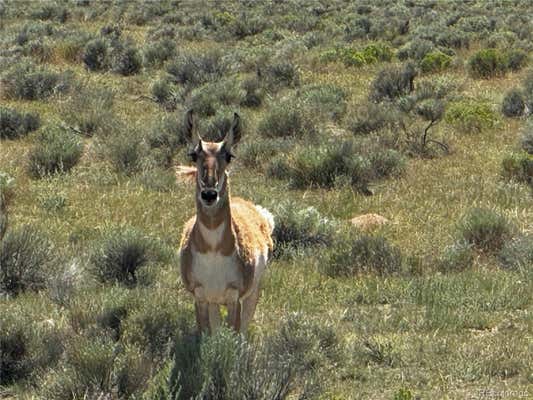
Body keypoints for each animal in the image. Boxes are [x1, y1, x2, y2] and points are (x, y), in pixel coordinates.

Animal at [180, 110, 274, 334]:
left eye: (229, 156)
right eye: (194, 155)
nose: (209, 194)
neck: (213, 250)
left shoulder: (234, 298)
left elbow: (235, 335)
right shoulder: (201, 296)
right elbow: (206, 335)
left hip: (253, 293)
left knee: (245, 328)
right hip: (214, 302)